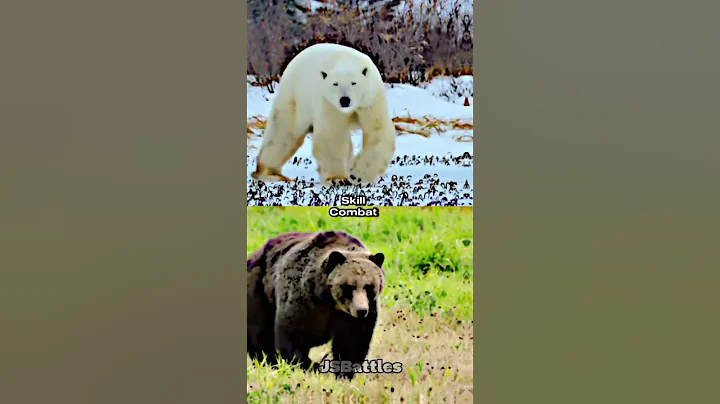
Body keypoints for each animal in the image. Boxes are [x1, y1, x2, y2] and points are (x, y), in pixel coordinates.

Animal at [247, 231, 386, 380]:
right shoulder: (302, 302)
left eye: (369, 286)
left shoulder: (355, 318)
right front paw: (311, 366)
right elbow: (292, 337)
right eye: (349, 286)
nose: (361, 310)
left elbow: (352, 344)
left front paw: (342, 374)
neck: (330, 301)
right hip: (260, 292)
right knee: (259, 333)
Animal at [250, 43, 397, 185]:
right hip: (296, 99)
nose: (344, 100)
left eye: (354, 83)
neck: (345, 59)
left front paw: (357, 175)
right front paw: (338, 178)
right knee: (283, 134)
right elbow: (332, 134)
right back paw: (270, 173)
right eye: (335, 84)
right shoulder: (328, 102)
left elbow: (377, 130)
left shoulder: (370, 99)